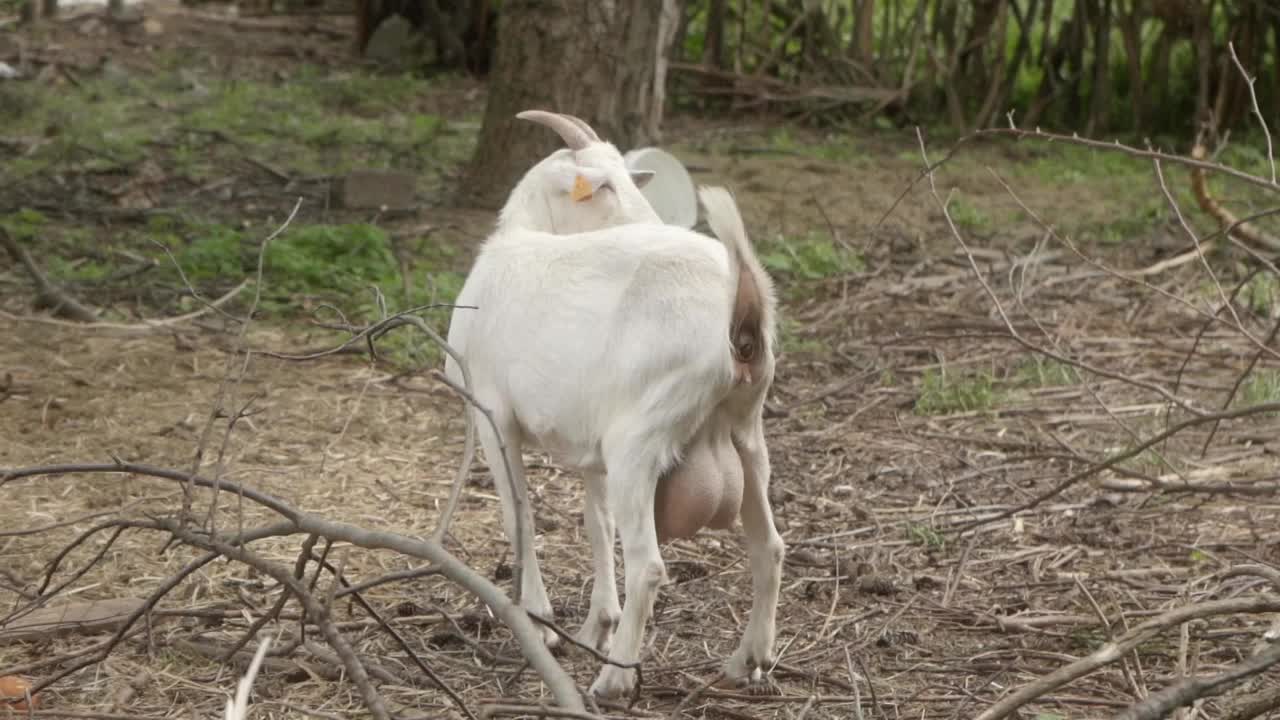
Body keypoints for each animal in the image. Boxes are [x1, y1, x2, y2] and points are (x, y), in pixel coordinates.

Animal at [445, 112, 783, 696]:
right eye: (602, 186)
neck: (522, 242)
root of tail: (743, 305)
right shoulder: (590, 448)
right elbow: (595, 523)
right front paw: (596, 624)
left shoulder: (495, 418)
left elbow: (519, 515)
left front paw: (541, 624)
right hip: (745, 434)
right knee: (770, 546)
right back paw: (748, 659)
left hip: (640, 440)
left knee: (649, 565)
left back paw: (614, 679)